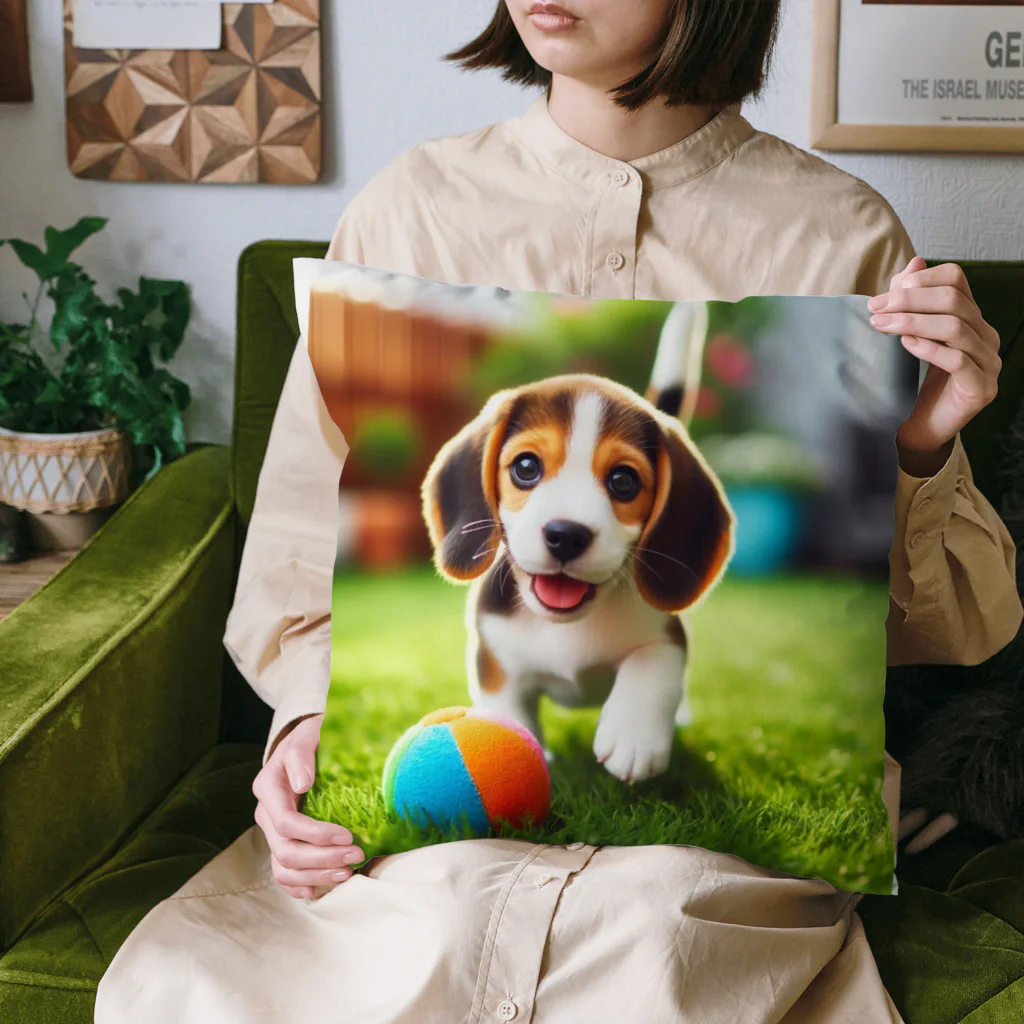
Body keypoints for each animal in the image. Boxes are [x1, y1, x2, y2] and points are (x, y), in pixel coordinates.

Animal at [423, 323, 737, 778]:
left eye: (623, 481)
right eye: (526, 467)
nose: (566, 535)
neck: (567, 627)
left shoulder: (667, 633)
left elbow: (654, 664)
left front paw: (635, 736)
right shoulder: (493, 657)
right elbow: (506, 707)